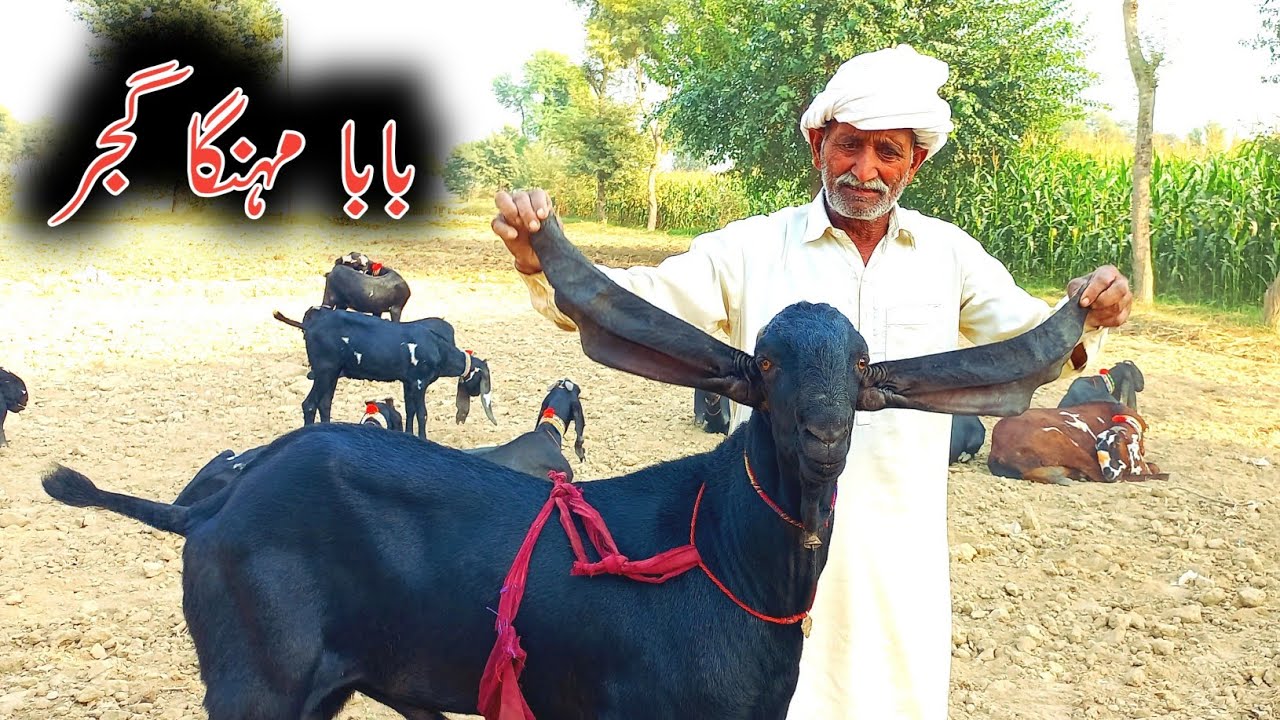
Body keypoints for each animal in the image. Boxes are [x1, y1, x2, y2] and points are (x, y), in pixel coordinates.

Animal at [273, 308, 494, 439]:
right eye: (480, 380)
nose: (476, 393)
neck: (439, 349)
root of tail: (309, 325)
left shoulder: (409, 382)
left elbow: (410, 410)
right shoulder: (419, 382)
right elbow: (422, 413)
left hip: (331, 373)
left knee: (324, 404)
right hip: (324, 369)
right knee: (309, 404)